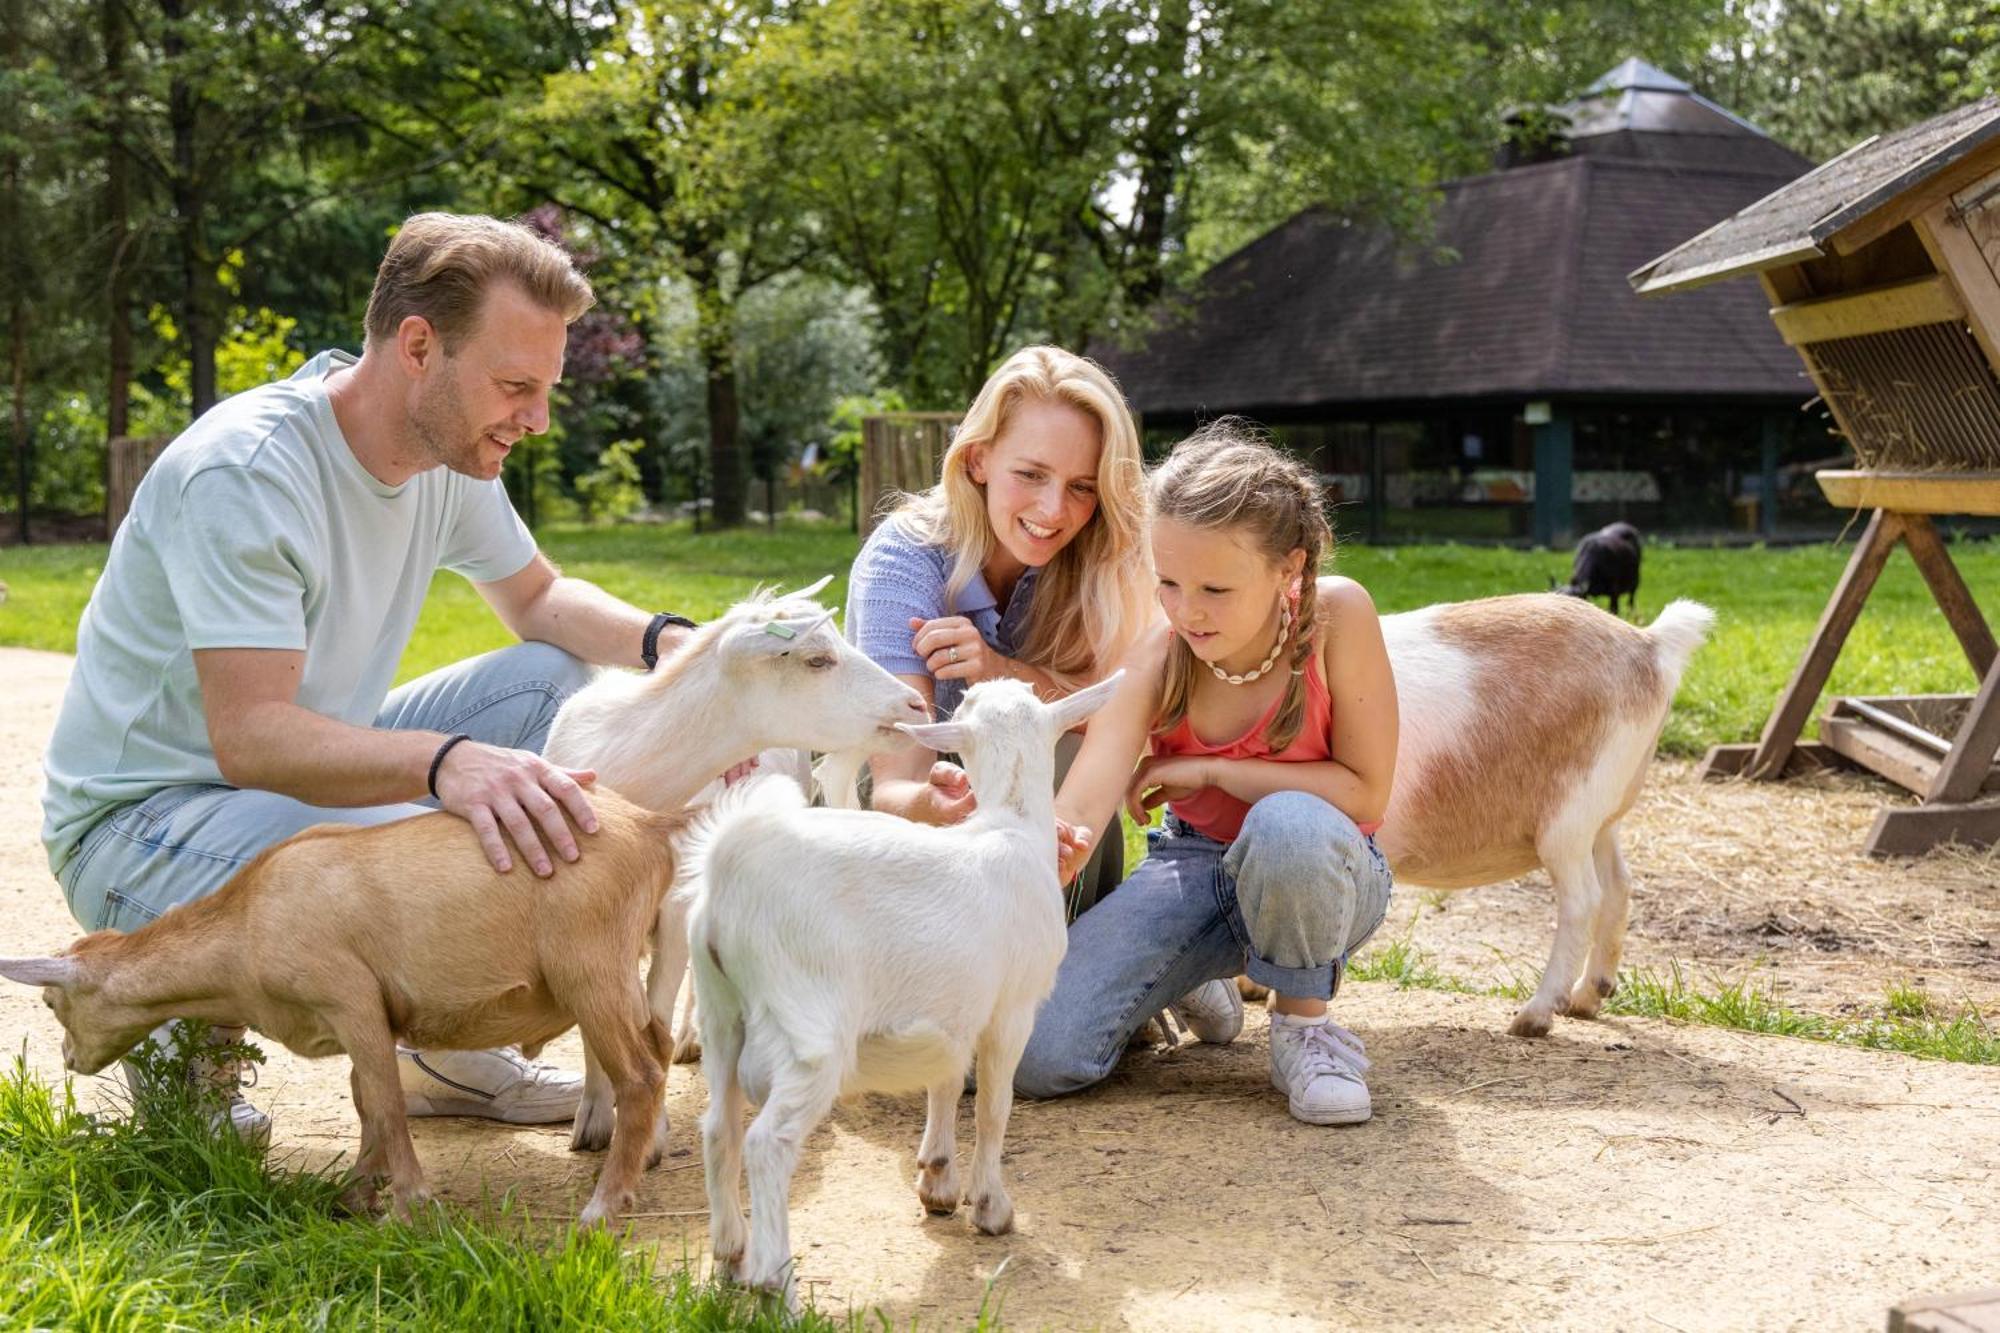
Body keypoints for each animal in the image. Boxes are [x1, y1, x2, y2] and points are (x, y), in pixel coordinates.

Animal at [3, 788, 684, 1224]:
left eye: (50, 1001)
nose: (68, 1060)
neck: (247, 924)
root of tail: (650, 828)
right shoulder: (365, 1018)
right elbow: (365, 1100)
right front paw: (354, 1196)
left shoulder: (351, 998)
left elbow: (385, 1101)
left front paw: (408, 1209)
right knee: (662, 1043)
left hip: (589, 968)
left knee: (640, 1074)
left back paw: (601, 1209)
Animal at [680, 668, 1128, 1304]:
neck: (1012, 824)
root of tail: (729, 866)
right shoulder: (1011, 1009)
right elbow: (993, 1108)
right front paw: (991, 1207)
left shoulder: (954, 1004)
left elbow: (945, 1081)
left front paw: (938, 1179)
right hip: (808, 1023)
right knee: (767, 1144)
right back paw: (775, 1287)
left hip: (719, 1011)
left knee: (719, 1127)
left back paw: (730, 1255)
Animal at [1368, 592, 1712, 1040]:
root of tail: (1650, 644)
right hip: (1603, 815)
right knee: (1618, 883)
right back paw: (1588, 995)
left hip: (1570, 814)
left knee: (1584, 898)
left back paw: (1536, 1014)